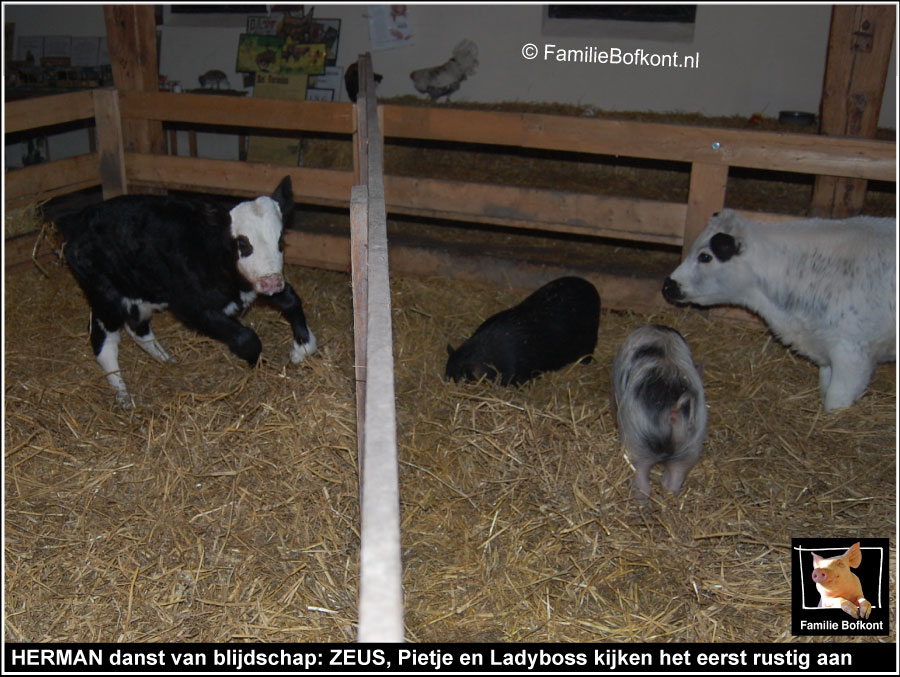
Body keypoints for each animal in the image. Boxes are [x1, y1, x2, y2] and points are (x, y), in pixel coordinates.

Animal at [56, 176, 316, 406]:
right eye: (242, 243)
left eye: (280, 240)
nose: (271, 282)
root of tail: (79, 219)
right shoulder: (191, 307)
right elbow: (246, 337)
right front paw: (258, 364)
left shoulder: (254, 286)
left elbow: (292, 300)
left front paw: (303, 346)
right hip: (104, 296)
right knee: (103, 341)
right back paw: (123, 395)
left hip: (139, 291)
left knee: (138, 328)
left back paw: (166, 360)